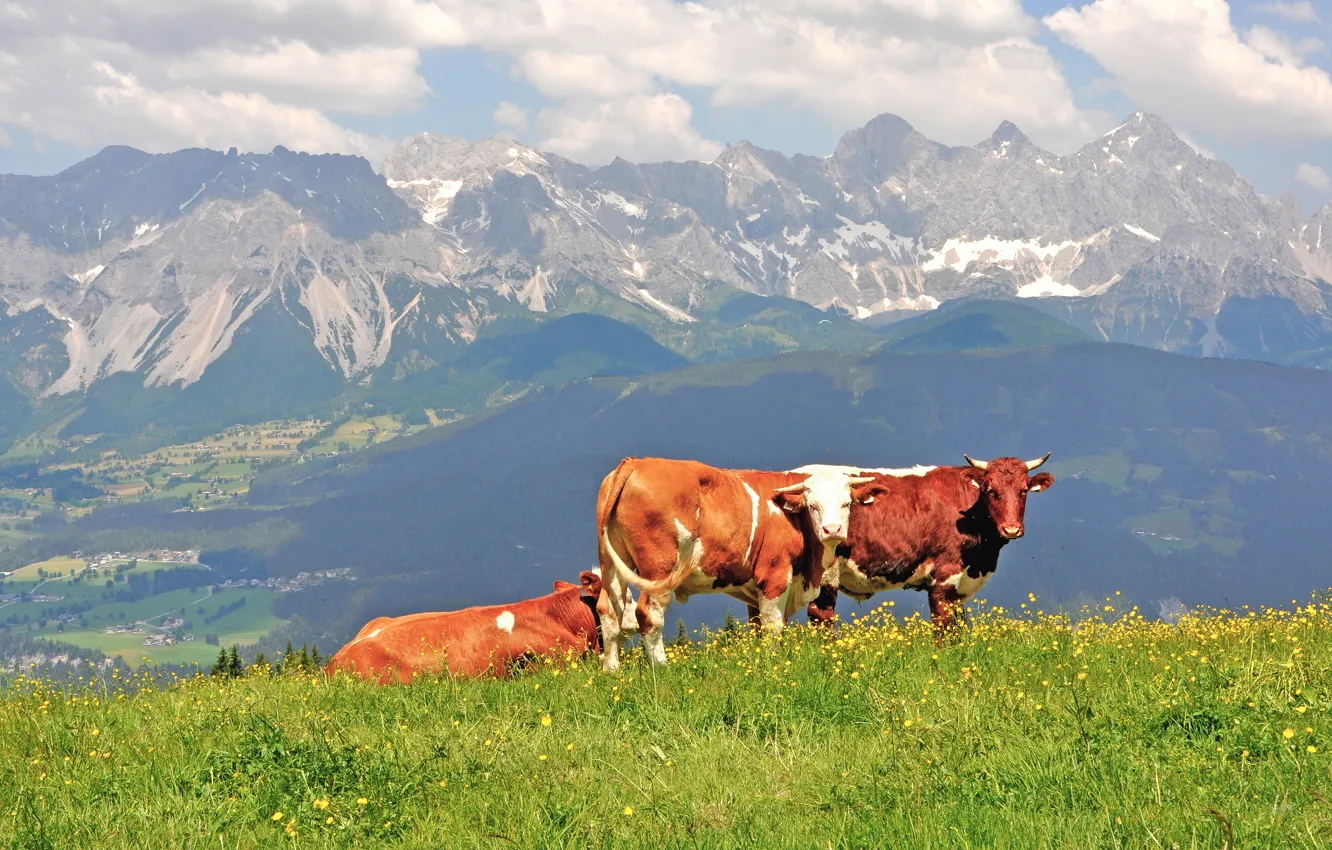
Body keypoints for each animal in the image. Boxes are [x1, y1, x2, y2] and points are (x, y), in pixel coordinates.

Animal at [595, 457, 873, 671]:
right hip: (658, 569)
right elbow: (773, 627)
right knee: (649, 614)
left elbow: (759, 626)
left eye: (846, 503)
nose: (832, 529)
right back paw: (661, 668)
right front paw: (773, 663)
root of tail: (636, 462)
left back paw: (611, 669)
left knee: (608, 609)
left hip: (611, 561)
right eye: (813, 505)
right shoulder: (774, 576)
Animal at [804, 454, 1055, 632]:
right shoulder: (946, 573)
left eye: (1024, 491)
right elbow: (944, 625)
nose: (1011, 528)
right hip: (826, 572)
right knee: (821, 615)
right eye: (991, 490)